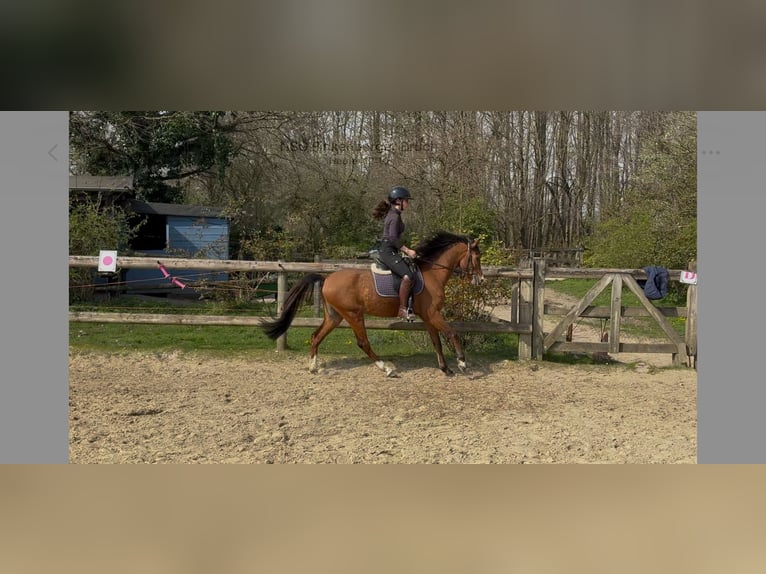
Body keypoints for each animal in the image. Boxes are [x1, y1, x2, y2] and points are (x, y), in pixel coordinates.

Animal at [260, 231, 484, 377]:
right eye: (477, 257)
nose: (480, 280)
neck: (432, 274)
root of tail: (326, 279)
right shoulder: (433, 314)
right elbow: (452, 333)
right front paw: (462, 363)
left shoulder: (428, 317)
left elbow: (437, 341)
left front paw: (446, 369)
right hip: (353, 314)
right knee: (363, 342)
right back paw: (387, 368)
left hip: (335, 316)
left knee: (316, 336)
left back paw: (313, 367)